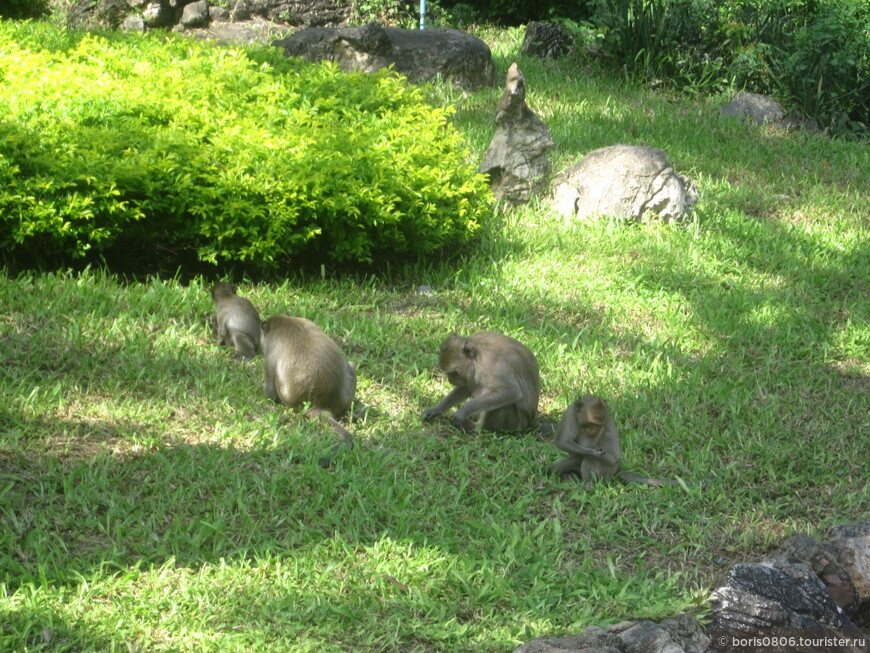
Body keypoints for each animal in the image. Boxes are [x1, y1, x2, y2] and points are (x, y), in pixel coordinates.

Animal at [552, 394, 680, 486]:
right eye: (590, 424)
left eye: (597, 425)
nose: (593, 431)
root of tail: (617, 469)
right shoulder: (569, 414)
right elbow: (562, 442)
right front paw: (591, 451)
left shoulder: (605, 423)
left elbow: (613, 455)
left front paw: (593, 452)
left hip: (608, 473)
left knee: (594, 459)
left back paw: (588, 485)